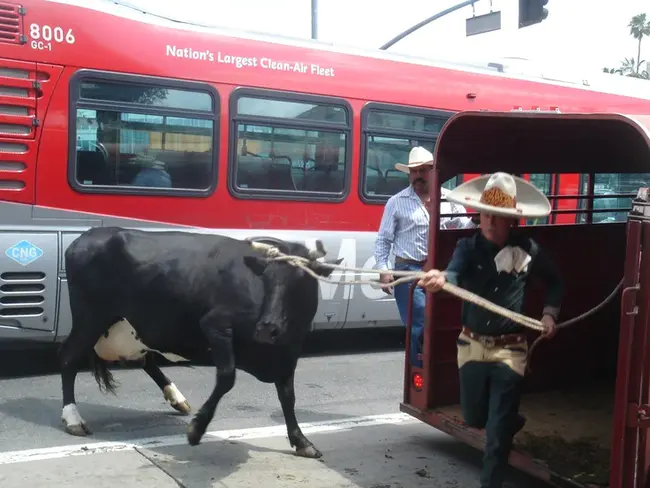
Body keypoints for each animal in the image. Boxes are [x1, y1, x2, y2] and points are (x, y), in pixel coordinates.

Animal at [58, 228, 342, 458]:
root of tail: (87, 236)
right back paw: (73, 418)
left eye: (301, 281)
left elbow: (288, 397)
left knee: (144, 359)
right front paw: (197, 429)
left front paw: (302, 442)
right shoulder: (215, 325)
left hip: (132, 327)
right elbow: (227, 377)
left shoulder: (288, 354)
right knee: (68, 357)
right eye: (266, 279)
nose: (266, 328)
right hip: (89, 318)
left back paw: (176, 397)